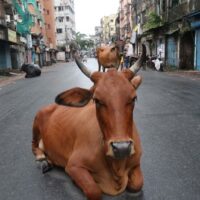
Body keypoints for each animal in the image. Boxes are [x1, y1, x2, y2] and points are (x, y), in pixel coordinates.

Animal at [32, 44, 146, 199]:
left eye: (134, 98)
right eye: (96, 100)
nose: (122, 148)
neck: (116, 167)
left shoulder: (136, 163)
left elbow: (137, 184)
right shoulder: (74, 166)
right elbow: (94, 191)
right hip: (36, 120)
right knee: (34, 146)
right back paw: (43, 160)